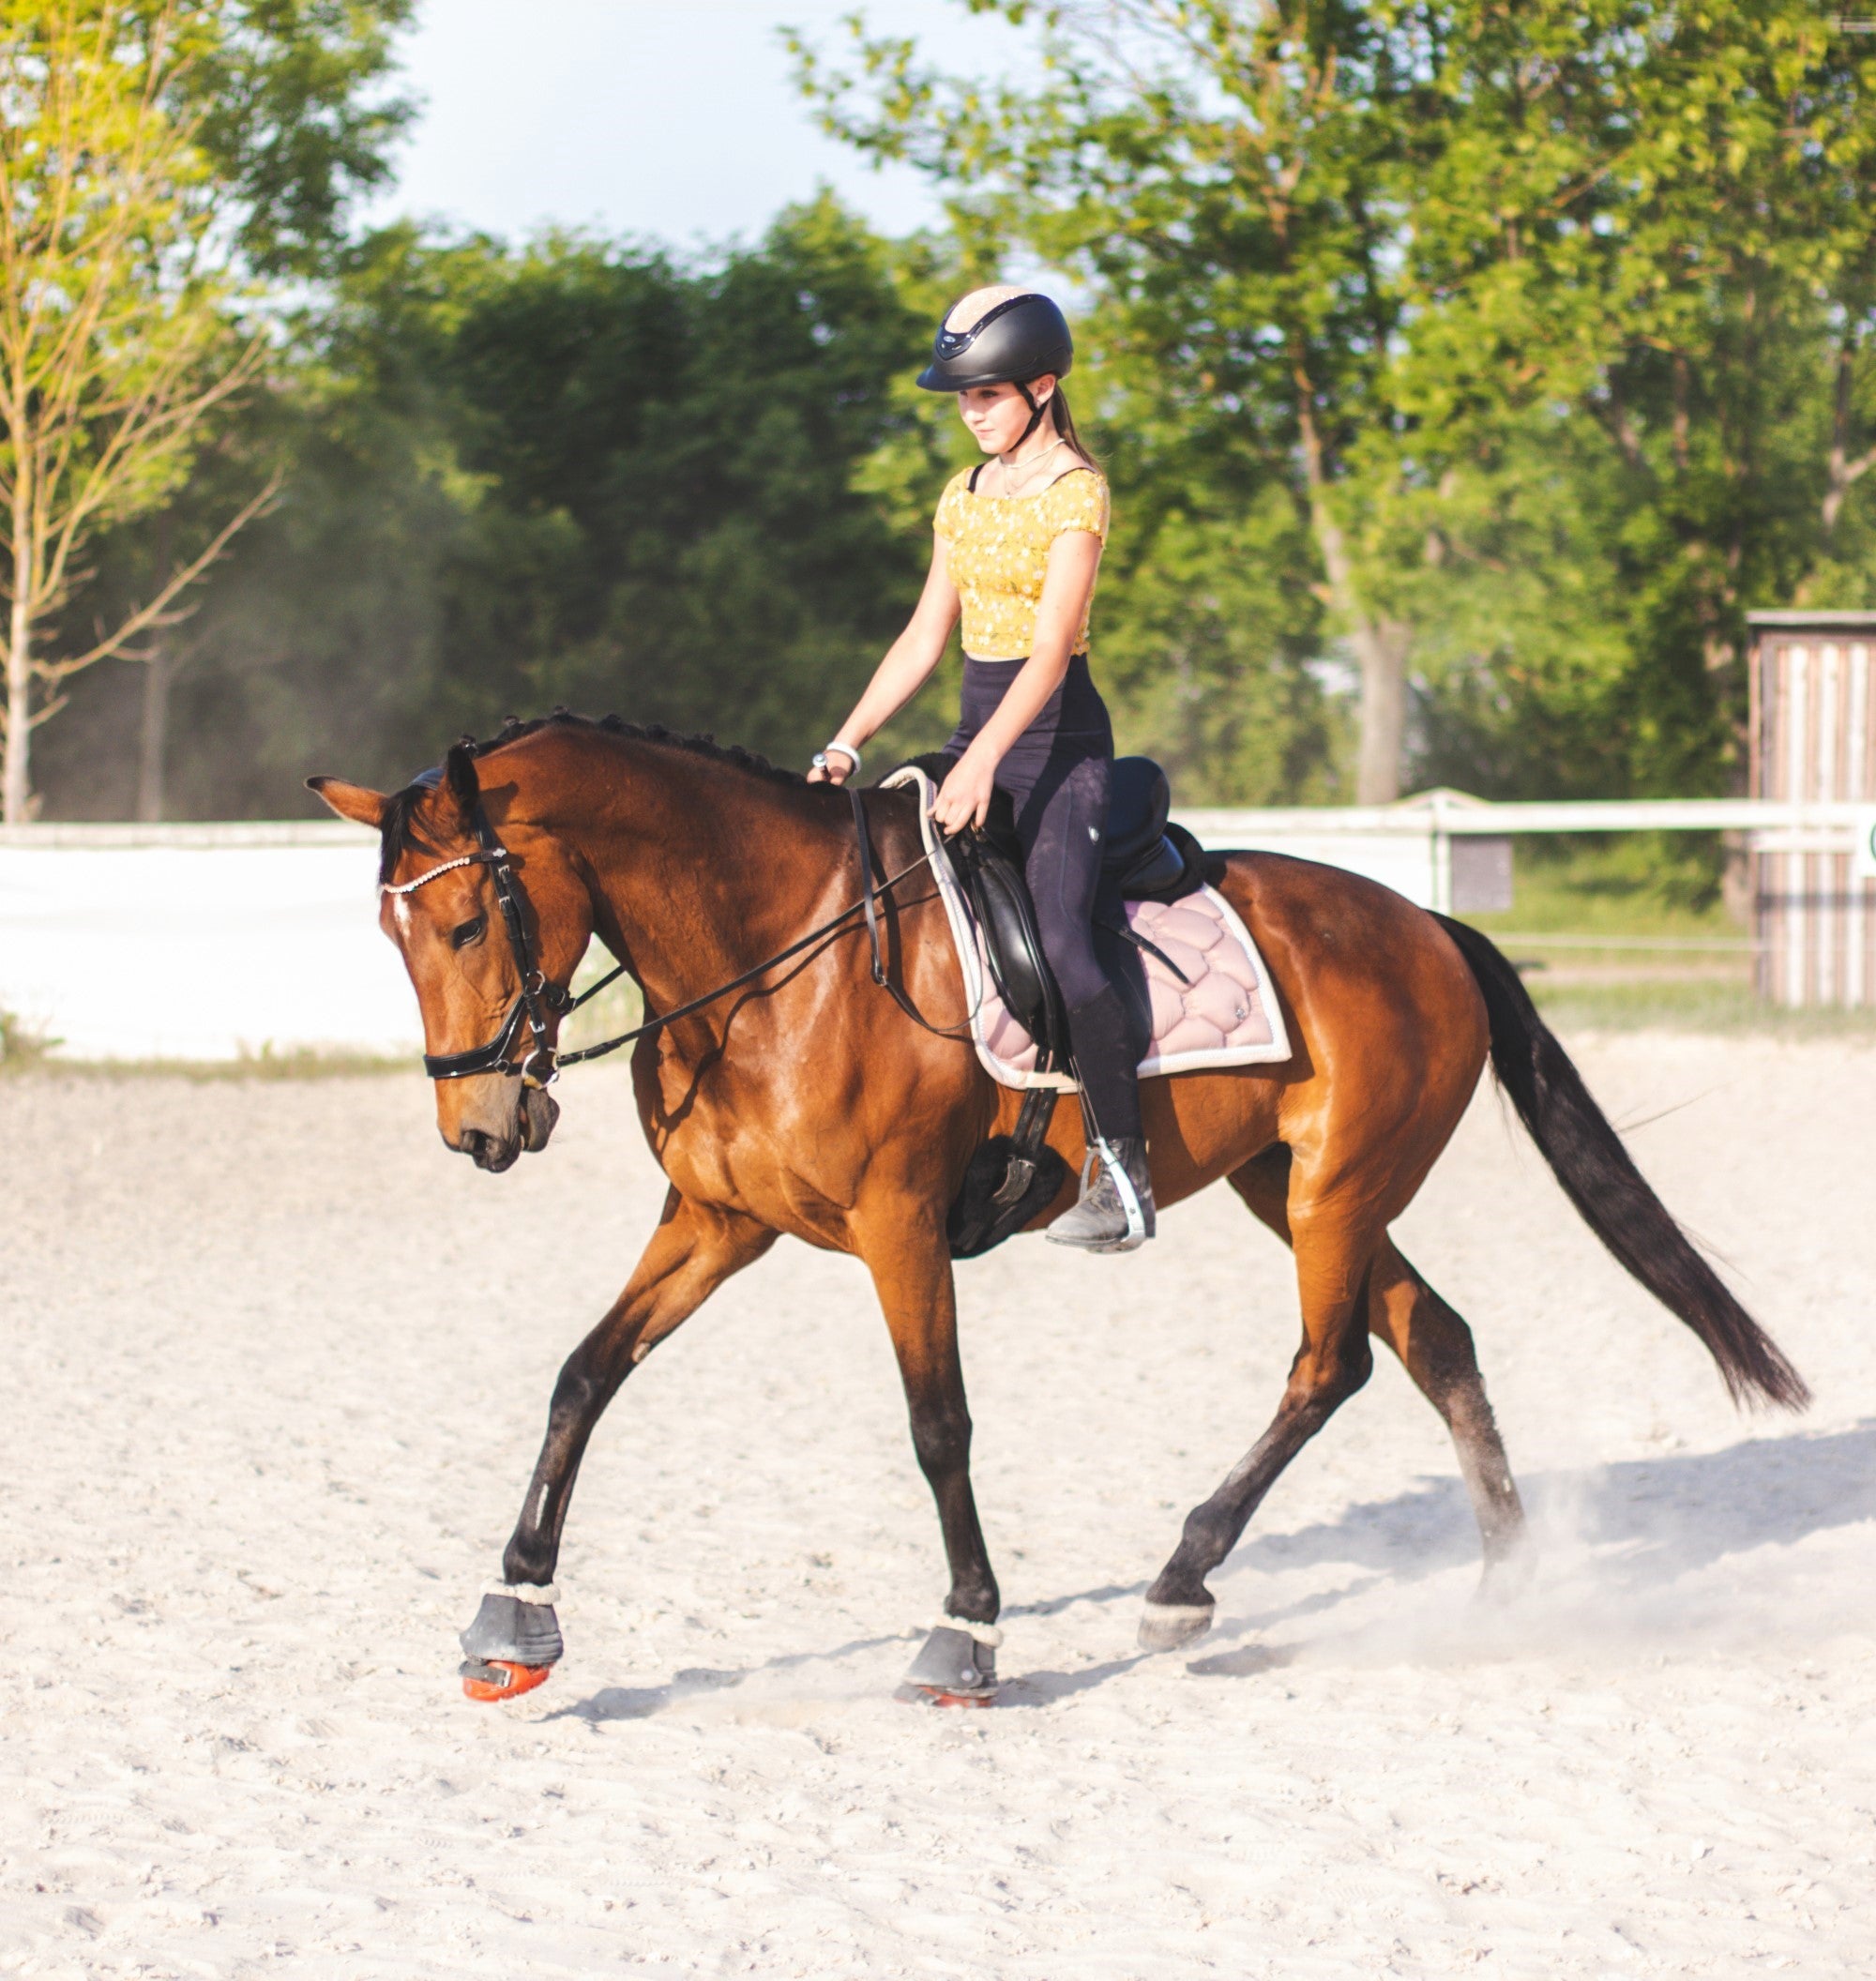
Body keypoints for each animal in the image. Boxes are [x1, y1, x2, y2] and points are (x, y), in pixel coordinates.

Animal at [314, 713, 1814, 1703]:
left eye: (465, 926)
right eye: (391, 935)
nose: (477, 1129)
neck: (772, 961)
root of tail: (1425, 924)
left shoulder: (898, 1228)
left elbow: (938, 1428)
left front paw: (966, 1638)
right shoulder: (712, 1222)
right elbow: (583, 1377)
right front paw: (511, 1621)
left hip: (1335, 1186)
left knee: (1328, 1364)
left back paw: (1179, 1585)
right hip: (1301, 1188)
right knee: (1431, 1337)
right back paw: (1505, 1588)